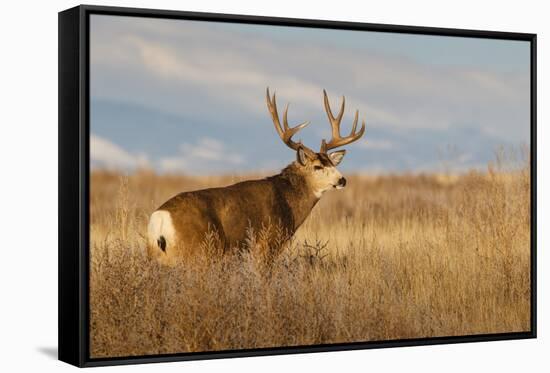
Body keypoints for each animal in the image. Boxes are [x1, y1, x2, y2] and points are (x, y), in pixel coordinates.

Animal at [148, 87, 366, 264]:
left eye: (332, 163)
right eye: (318, 166)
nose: (342, 180)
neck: (287, 202)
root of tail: (160, 221)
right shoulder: (268, 244)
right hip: (198, 251)